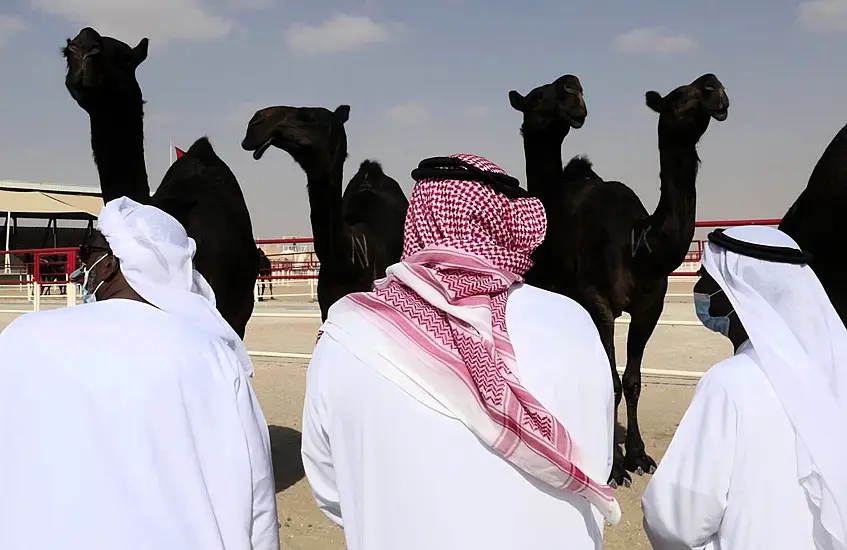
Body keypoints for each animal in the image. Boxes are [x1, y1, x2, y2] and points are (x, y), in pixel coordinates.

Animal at [512, 72, 732, 488]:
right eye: (678, 96)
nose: (715, 87)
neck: (639, 244)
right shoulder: (598, 301)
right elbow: (611, 381)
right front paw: (613, 467)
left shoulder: (650, 307)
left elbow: (632, 380)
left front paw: (639, 455)